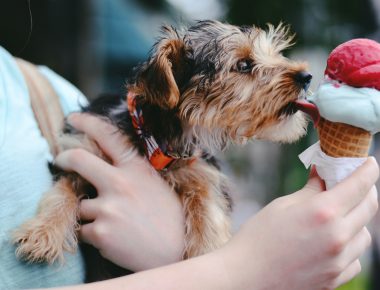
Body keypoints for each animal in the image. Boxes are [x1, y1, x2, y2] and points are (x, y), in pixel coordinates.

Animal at [11, 19, 312, 270]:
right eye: (244, 65)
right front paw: (42, 233)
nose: (306, 77)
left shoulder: (201, 170)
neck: (154, 138)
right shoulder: (82, 149)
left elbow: (208, 206)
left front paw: (207, 250)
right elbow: (62, 191)